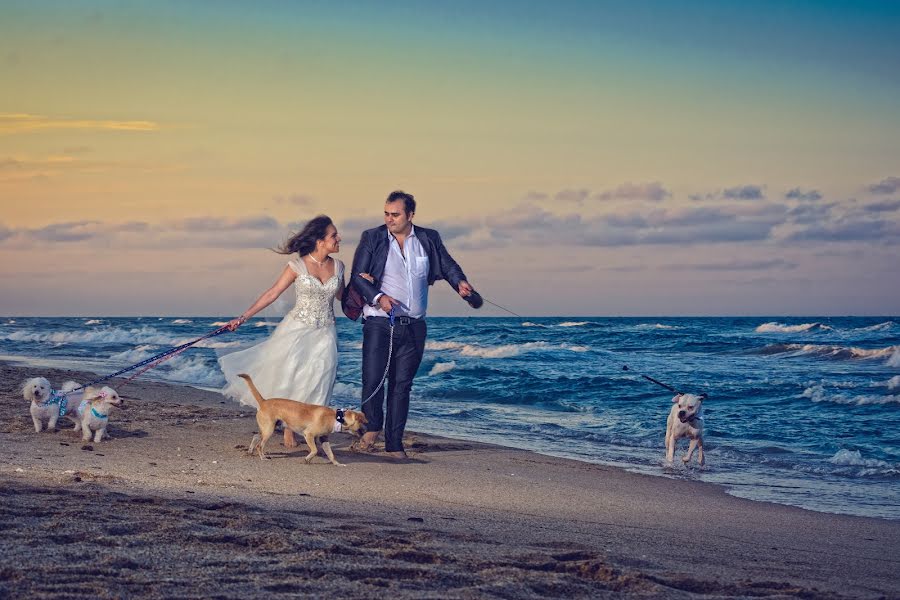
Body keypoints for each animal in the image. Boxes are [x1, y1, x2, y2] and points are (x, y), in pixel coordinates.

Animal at [239, 372, 370, 466]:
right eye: (362, 424)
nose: (366, 431)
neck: (337, 417)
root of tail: (263, 401)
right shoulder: (309, 435)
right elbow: (315, 450)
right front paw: (307, 459)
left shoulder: (324, 439)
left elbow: (331, 454)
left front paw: (337, 464)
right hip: (269, 430)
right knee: (260, 445)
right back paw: (263, 457)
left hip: (267, 428)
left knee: (256, 436)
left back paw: (250, 451)